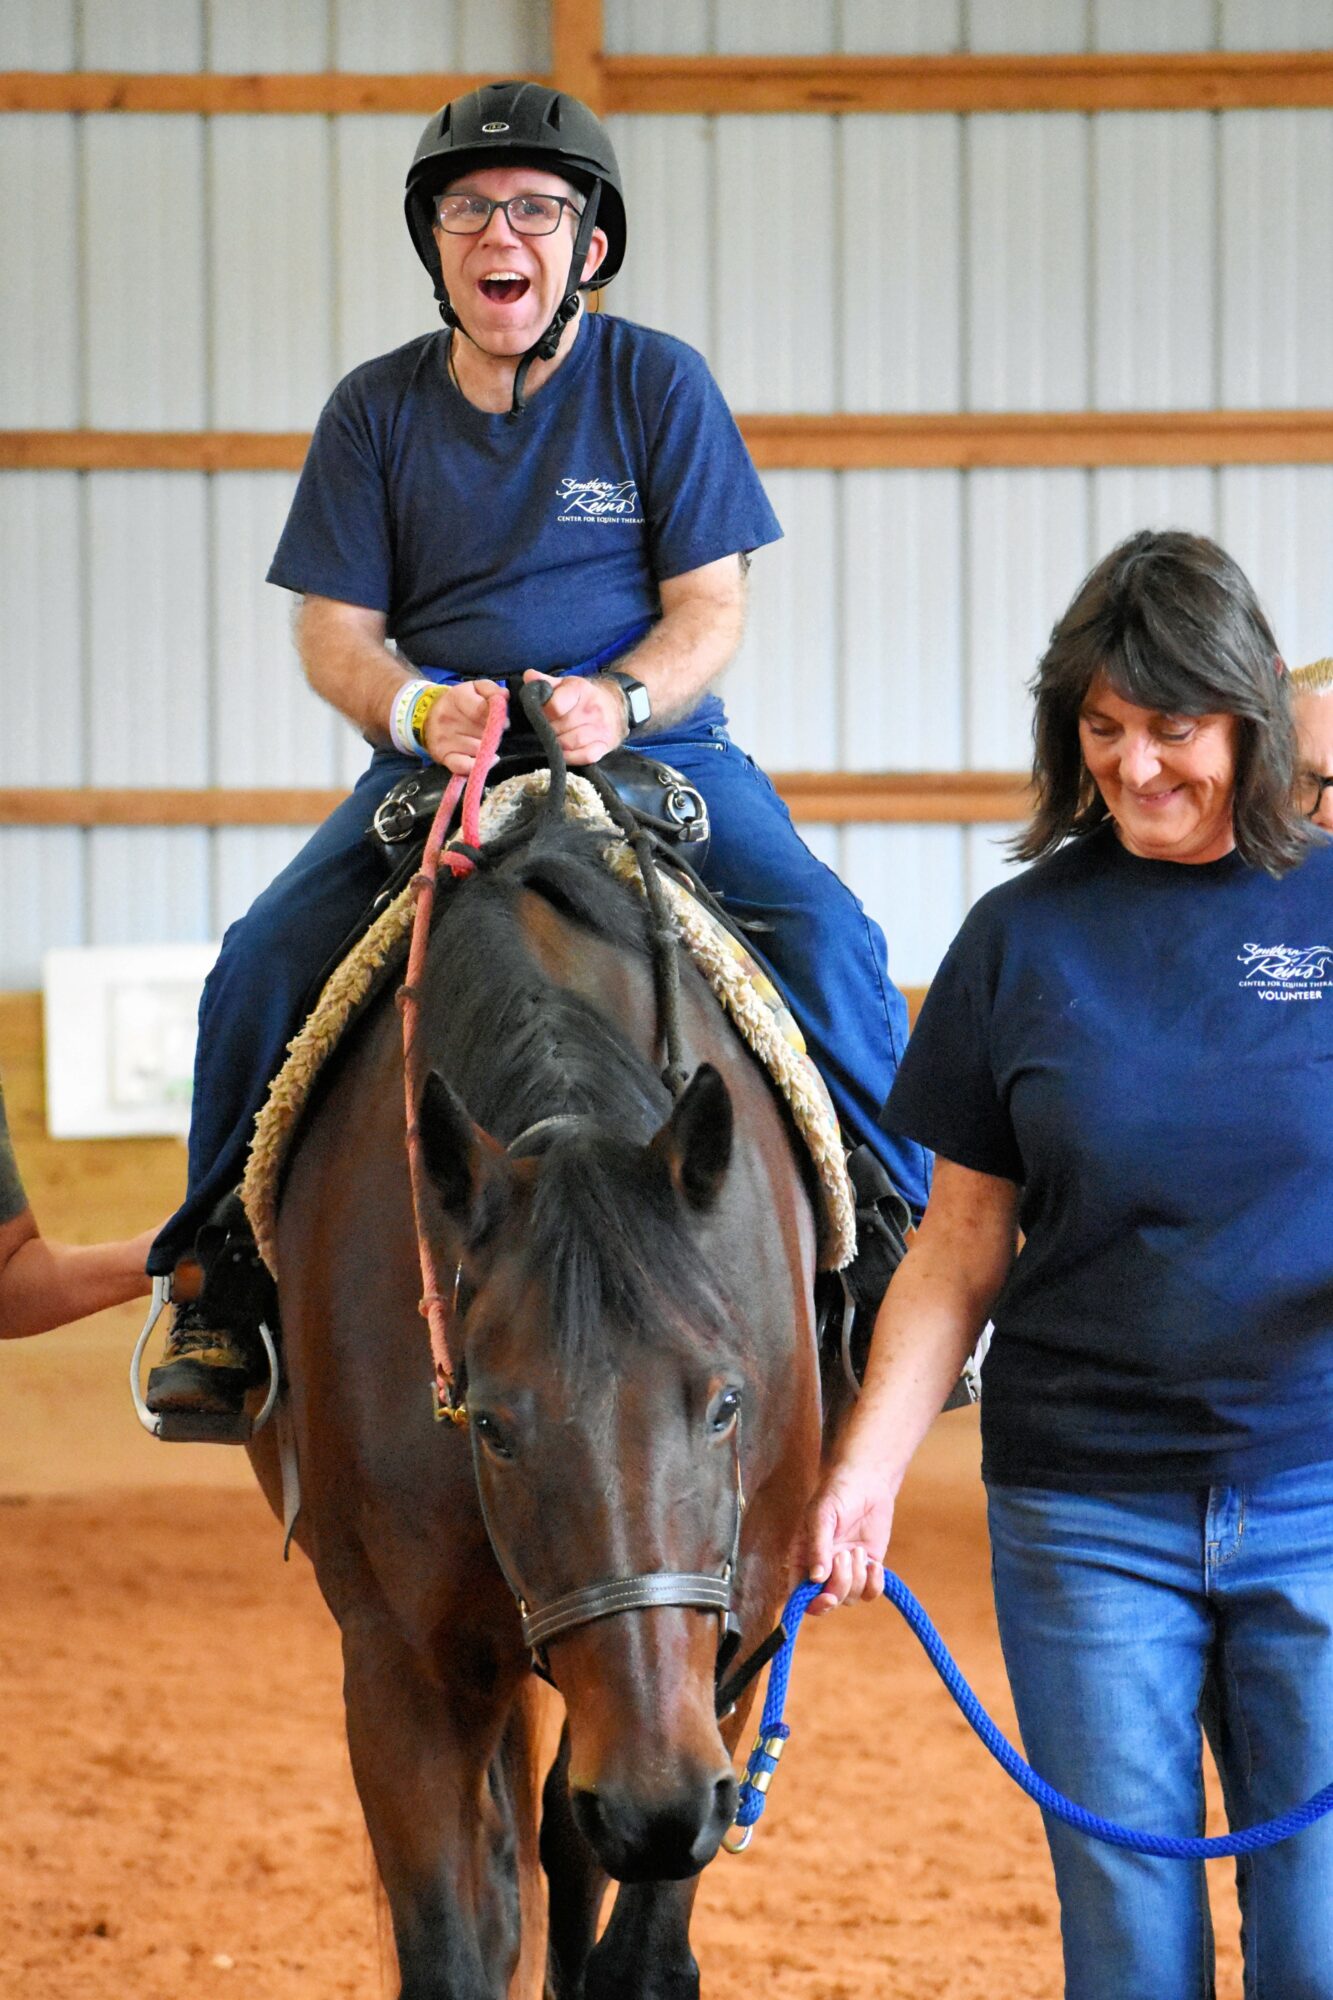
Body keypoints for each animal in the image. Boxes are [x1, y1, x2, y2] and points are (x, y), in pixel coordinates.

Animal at [246, 799, 826, 2000]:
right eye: (492, 1424)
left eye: (726, 1403)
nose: (657, 1800)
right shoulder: (399, 1664)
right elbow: (456, 1943)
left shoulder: (737, 1635)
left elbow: (636, 1950)